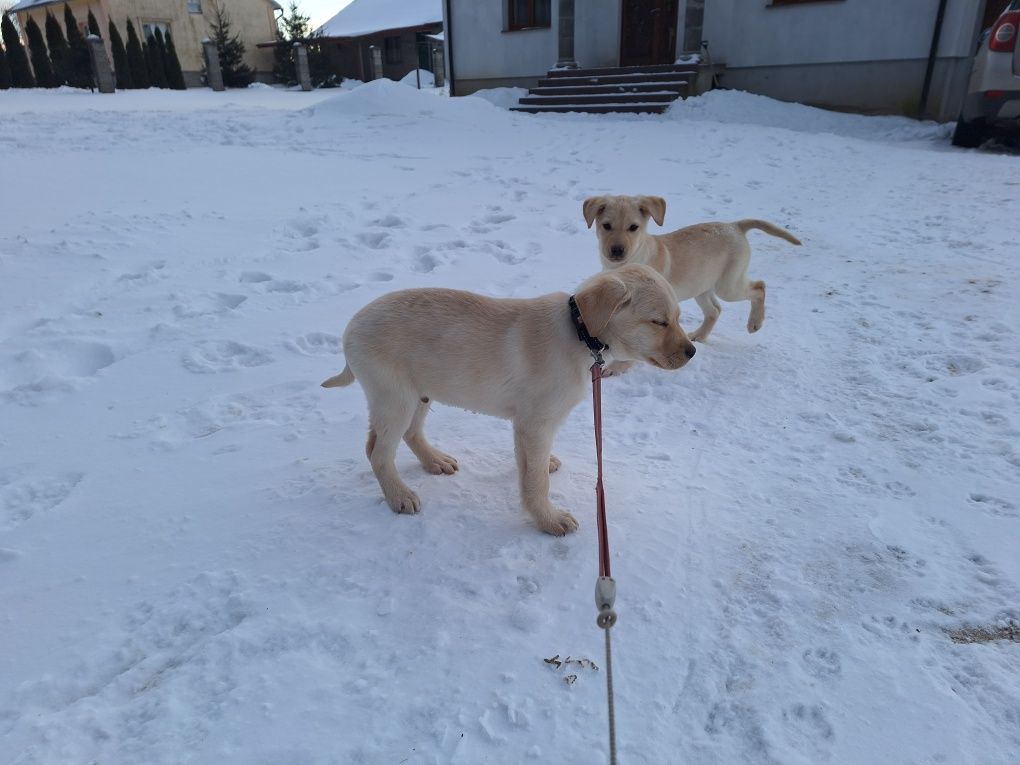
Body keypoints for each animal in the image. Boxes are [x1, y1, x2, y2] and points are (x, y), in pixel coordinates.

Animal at [322, 267, 697, 534]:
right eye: (659, 321)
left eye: (678, 318)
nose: (692, 351)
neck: (579, 334)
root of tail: (350, 328)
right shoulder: (535, 422)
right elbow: (535, 479)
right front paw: (549, 520)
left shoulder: (529, 424)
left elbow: (530, 466)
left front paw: (545, 472)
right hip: (394, 397)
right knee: (377, 451)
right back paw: (400, 496)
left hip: (419, 393)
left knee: (408, 434)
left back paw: (435, 461)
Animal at [587, 194, 799, 344]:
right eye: (606, 226)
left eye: (633, 227)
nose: (617, 250)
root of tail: (734, 226)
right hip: (701, 285)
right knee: (715, 310)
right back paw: (699, 335)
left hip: (728, 285)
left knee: (759, 286)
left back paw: (755, 323)